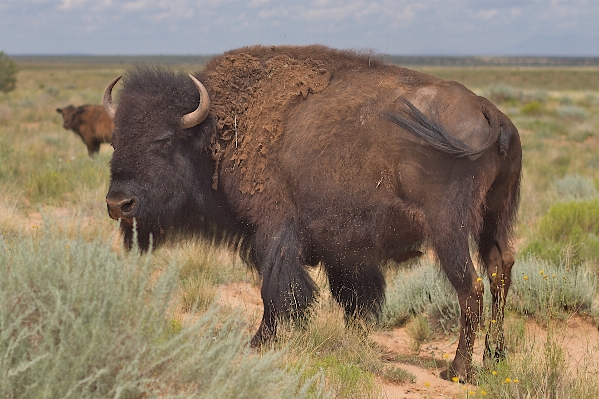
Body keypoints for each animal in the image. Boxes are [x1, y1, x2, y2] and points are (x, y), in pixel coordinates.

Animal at [102, 45, 520, 382]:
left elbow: (276, 292)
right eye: (115, 140)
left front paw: (259, 342)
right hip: (494, 220)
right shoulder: (344, 253)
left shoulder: (273, 234)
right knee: (499, 272)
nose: (118, 204)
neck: (218, 131)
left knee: (471, 288)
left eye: (163, 141)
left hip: (449, 230)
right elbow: (353, 298)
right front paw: (351, 340)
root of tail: (490, 112)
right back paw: (495, 357)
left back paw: (458, 371)